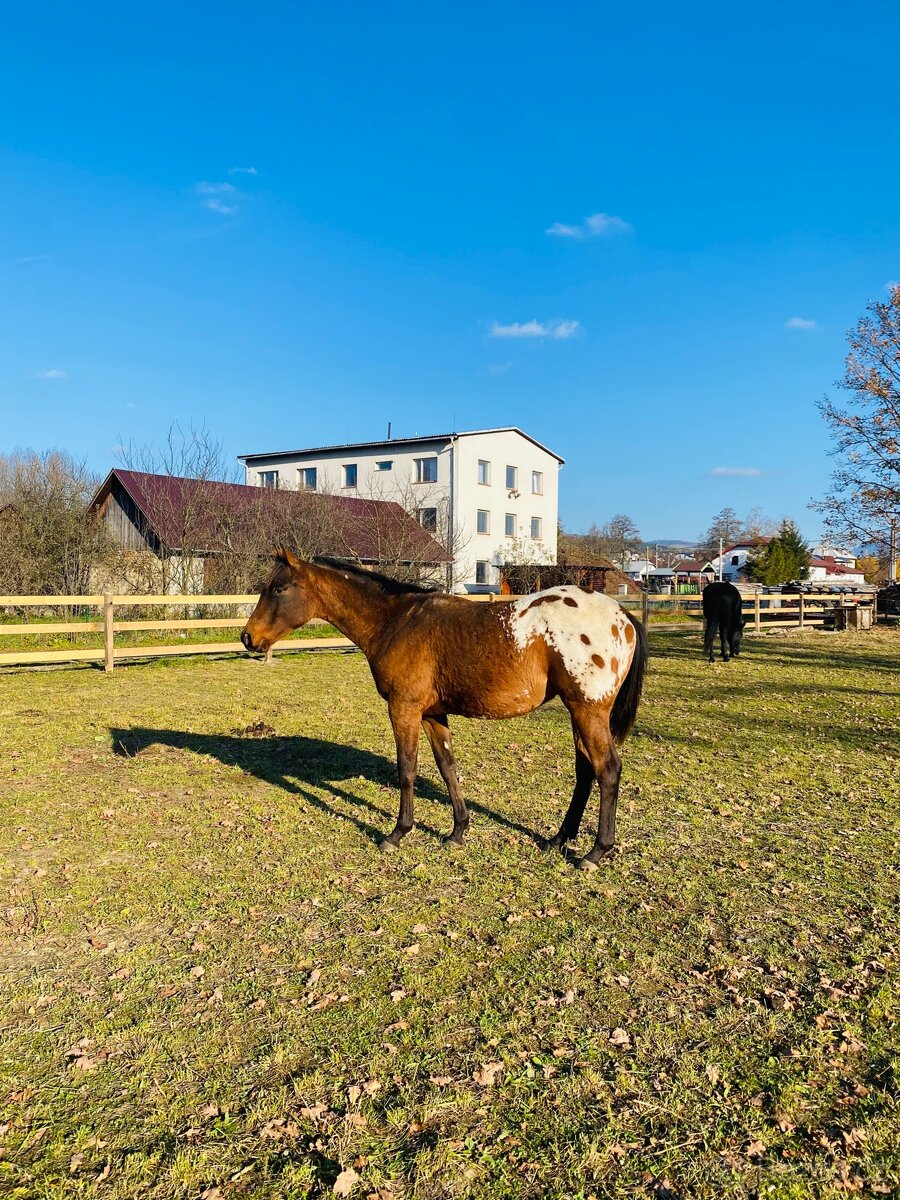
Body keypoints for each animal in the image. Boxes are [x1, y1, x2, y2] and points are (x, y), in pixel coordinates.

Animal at [241, 549, 648, 868]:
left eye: (277, 589)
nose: (248, 637)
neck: (397, 621)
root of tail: (622, 615)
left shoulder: (404, 710)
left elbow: (406, 770)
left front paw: (398, 833)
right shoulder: (432, 714)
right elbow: (447, 768)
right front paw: (458, 832)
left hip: (587, 711)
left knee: (607, 769)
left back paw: (595, 853)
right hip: (578, 712)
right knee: (585, 772)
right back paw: (558, 839)